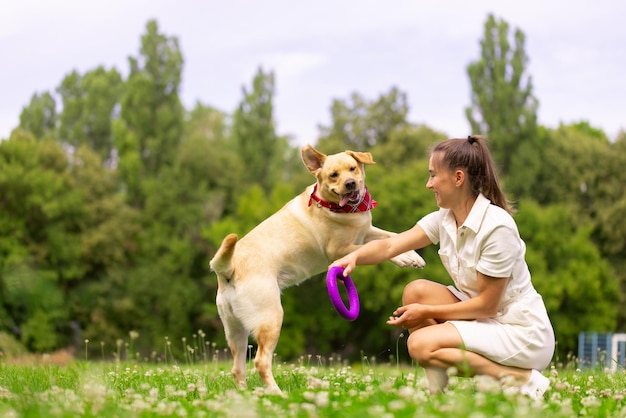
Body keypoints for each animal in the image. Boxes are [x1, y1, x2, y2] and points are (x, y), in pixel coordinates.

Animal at [210, 145, 424, 392]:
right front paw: (404, 258)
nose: (350, 183)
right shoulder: (339, 249)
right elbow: (377, 247)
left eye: (353, 168)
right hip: (270, 318)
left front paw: (412, 256)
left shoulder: (366, 231)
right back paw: (277, 393)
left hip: (236, 330)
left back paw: (245, 395)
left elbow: (391, 237)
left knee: (237, 369)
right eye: (333, 175)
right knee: (261, 362)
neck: (338, 206)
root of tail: (229, 270)